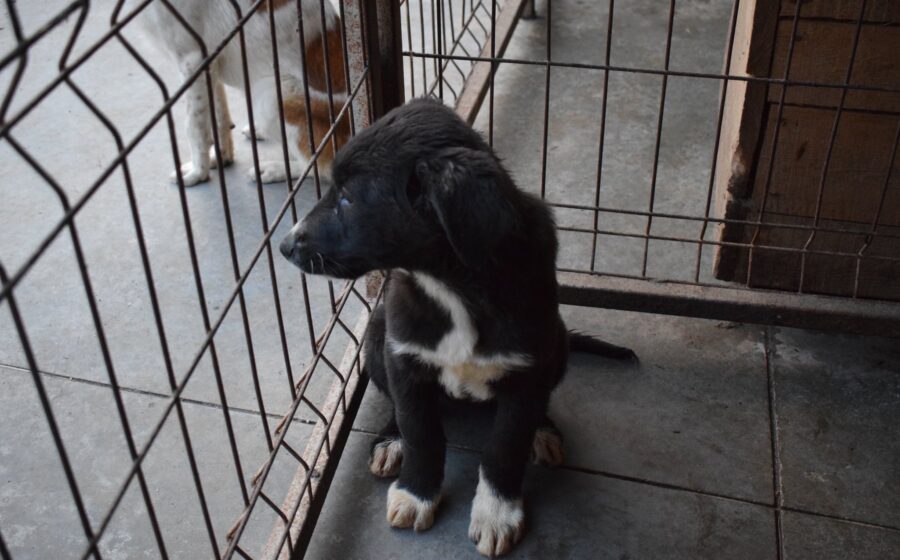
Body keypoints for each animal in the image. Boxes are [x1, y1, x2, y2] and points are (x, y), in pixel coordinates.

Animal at [131, 0, 350, 186]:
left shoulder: (193, 61)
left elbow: (194, 126)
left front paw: (197, 173)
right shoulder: (211, 64)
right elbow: (218, 118)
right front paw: (221, 156)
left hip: (269, 95)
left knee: (319, 165)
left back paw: (273, 169)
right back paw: (259, 131)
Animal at [279, 98, 634, 557]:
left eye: (347, 198)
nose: (284, 245)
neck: (450, 283)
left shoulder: (528, 369)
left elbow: (504, 447)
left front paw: (497, 513)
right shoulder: (404, 358)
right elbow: (420, 431)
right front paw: (417, 494)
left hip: (558, 346)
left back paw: (543, 430)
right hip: (376, 338)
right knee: (396, 408)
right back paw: (390, 441)